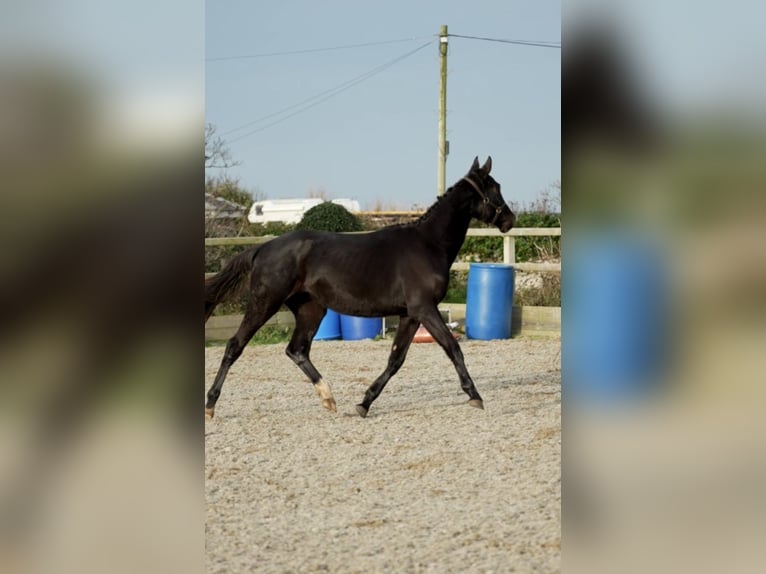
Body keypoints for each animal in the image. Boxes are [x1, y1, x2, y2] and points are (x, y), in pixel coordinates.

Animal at [204, 156, 515, 418]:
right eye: (495, 188)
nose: (510, 219)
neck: (428, 244)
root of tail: (262, 248)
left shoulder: (410, 314)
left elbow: (395, 359)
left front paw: (364, 403)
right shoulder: (425, 308)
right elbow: (453, 347)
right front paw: (475, 396)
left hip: (311, 309)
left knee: (297, 350)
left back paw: (329, 398)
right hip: (265, 303)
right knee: (236, 345)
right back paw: (210, 405)